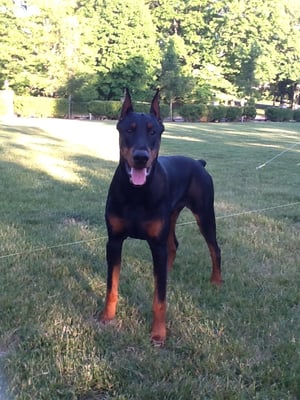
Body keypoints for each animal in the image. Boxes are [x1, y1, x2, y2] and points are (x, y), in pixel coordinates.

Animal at [99, 89, 221, 346]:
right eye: (129, 130)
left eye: (153, 131)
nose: (141, 157)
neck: (136, 193)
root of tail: (198, 163)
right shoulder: (114, 242)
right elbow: (111, 286)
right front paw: (107, 317)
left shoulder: (156, 244)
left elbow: (160, 298)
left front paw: (158, 333)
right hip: (172, 217)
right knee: (173, 245)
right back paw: (167, 270)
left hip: (205, 214)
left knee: (215, 248)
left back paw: (216, 281)